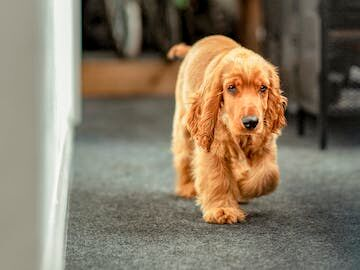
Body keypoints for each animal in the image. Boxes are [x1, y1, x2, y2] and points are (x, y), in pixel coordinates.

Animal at [167, 35, 288, 224]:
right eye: (231, 87)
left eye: (263, 88)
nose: (251, 122)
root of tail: (194, 46)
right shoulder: (213, 145)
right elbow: (217, 178)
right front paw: (222, 210)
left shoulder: (264, 143)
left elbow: (268, 176)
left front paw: (241, 187)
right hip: (183, 124)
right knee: (184, 156)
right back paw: (186, 187)